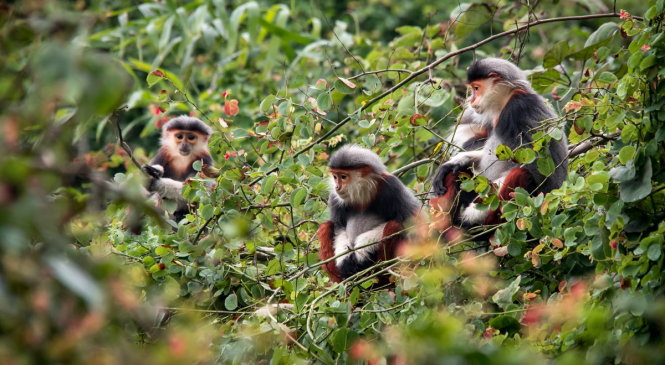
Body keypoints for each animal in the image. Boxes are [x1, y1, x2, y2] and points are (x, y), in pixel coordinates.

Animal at [318, 144, 420, 282]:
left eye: (343, 177)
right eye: (335, 177)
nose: (337, 187)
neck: (363, 195)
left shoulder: (392, 187)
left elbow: (413, 225)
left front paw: (362, 250)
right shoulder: (334, 197)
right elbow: (339, 227)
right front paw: (345, 261)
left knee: (394, 225)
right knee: (326, 226)